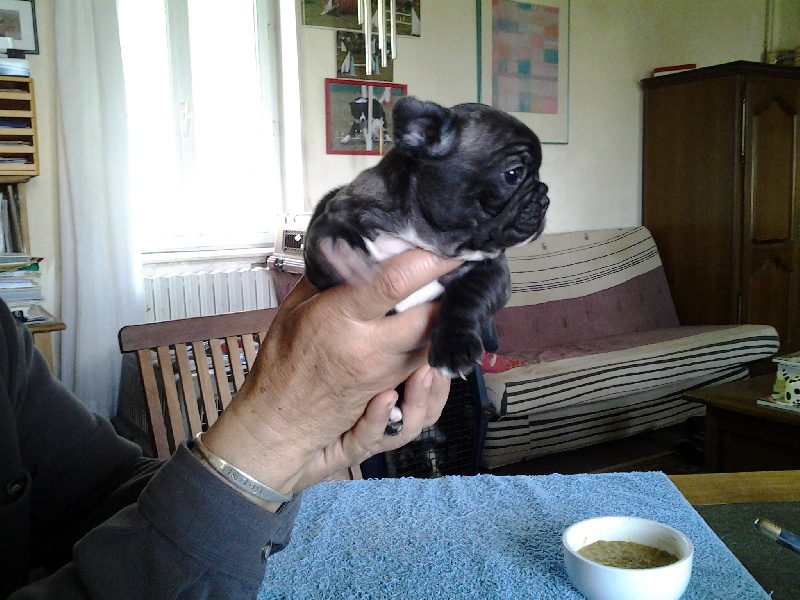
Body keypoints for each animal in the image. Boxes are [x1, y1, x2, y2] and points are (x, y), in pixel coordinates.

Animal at [304, 96, 550, 432]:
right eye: (513, 174)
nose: (545, 198)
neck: (422, 235)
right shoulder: (331, 222)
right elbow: (323, 240)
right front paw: (341, 251)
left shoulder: (494, 272)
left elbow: (468, 297)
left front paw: (454, 347)